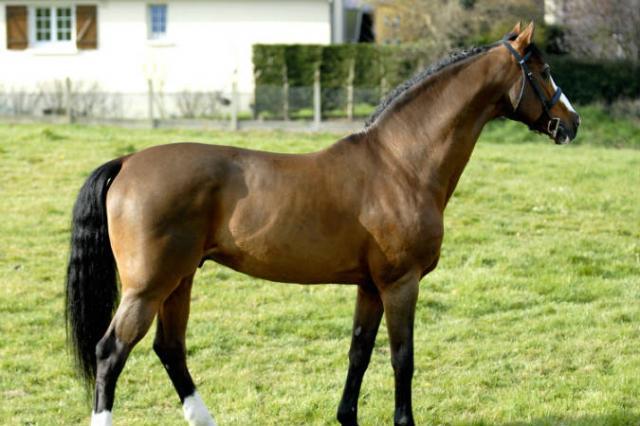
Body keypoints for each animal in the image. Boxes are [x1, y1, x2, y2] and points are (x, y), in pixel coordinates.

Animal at [65, 22, 579, 426]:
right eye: (542, 71)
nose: (571, 123)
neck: (400, 163)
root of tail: (127, 162)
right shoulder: (401, 283)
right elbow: (402, 358)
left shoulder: (370, 286)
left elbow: (359, 352)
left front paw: (346, 416)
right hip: (149, 286)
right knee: (111, 352)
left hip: (180, 280)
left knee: (170, 348)